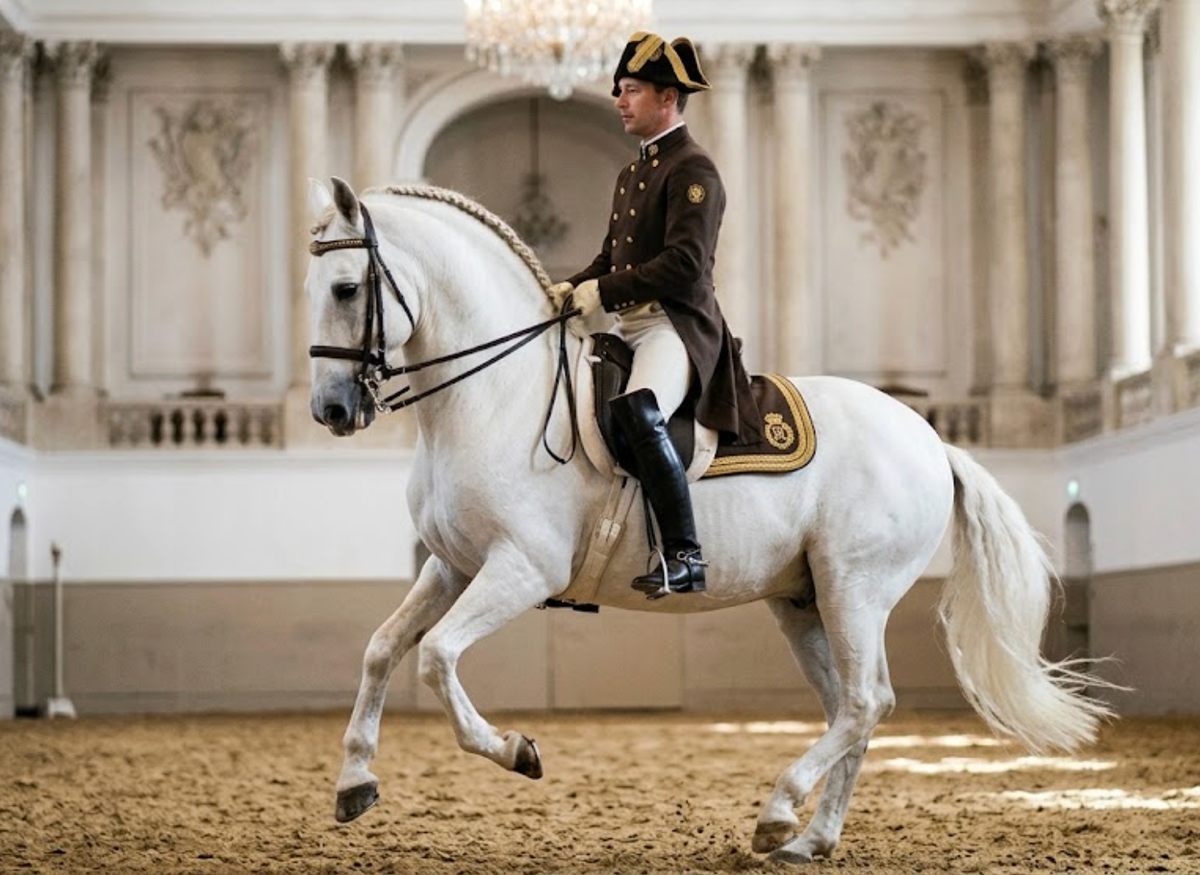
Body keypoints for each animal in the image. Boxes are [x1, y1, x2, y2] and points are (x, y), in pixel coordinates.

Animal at [303, 176, 1112, 865]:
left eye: (346, 287)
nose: (331, 411)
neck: (497, 395)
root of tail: (931, 438)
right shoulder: (454, 565)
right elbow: (382, 648)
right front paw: (354, 783)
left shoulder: (523, 569)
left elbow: (437, 657)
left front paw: (517, 750)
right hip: (804, 601)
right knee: (851, 708)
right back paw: (810, 839)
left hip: (854, 587)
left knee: (865, 701)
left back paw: (779, 812)